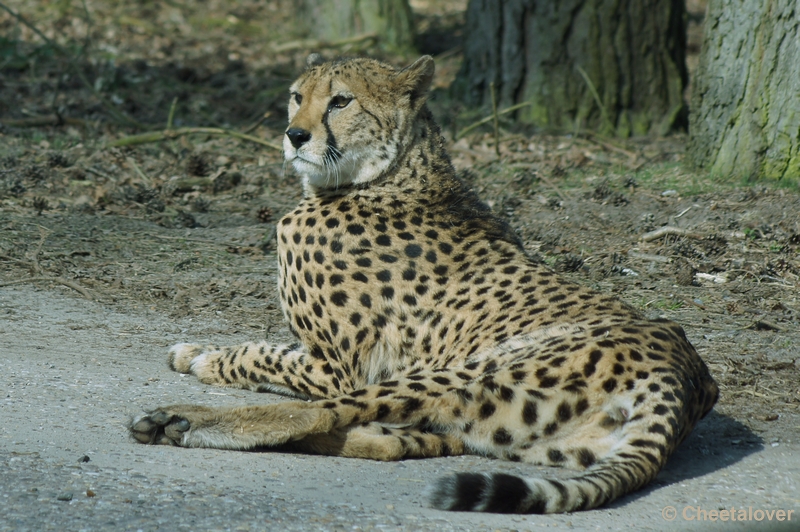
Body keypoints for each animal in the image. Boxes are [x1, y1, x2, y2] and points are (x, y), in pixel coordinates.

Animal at [130, 53, 720, 512]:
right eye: (297, 97)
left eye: (340, 102)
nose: (295, 134)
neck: (391, 174)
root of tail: (686, 373)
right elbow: (266, 346)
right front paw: (197, 349)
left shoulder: (337, 370)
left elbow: (266, 358)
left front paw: (207, 361)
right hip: (495, 423)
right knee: (403, 442)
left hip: (460, 372)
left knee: (311, 415)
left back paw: (176, 421)